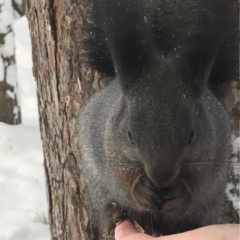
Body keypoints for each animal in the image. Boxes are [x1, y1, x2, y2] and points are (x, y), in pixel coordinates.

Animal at [76, 0, 237, 236]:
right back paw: (113, 214)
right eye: (130, 135)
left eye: (191, 135)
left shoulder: (211, 150)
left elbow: (198, 182)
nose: (161, 178)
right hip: (97, 185)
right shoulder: (110, 148)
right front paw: (140, 191)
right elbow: (121, 181)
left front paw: (181, 196)